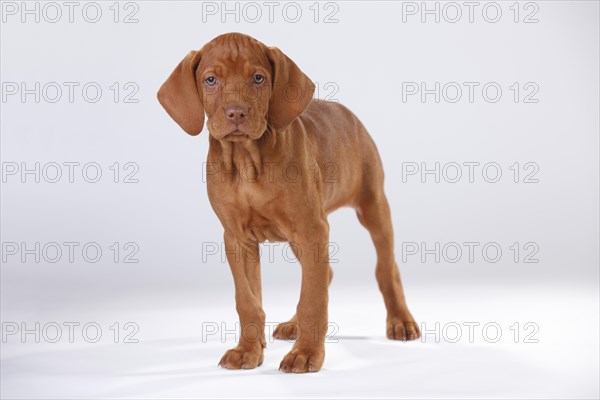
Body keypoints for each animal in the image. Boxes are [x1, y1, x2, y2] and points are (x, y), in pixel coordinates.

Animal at [157, 32, 420, 374]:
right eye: (210, 80)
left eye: (258, 78)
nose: (236, 113)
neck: (246, 162)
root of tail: (347, 113)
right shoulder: (237, 238)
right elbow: (249, 300)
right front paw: (248, 350)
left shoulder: (312, 229)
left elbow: (312, 300)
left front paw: (306, 353)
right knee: (324, 274)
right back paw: (293, 325)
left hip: (372, 206)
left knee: (386, 269)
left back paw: (400, 320)